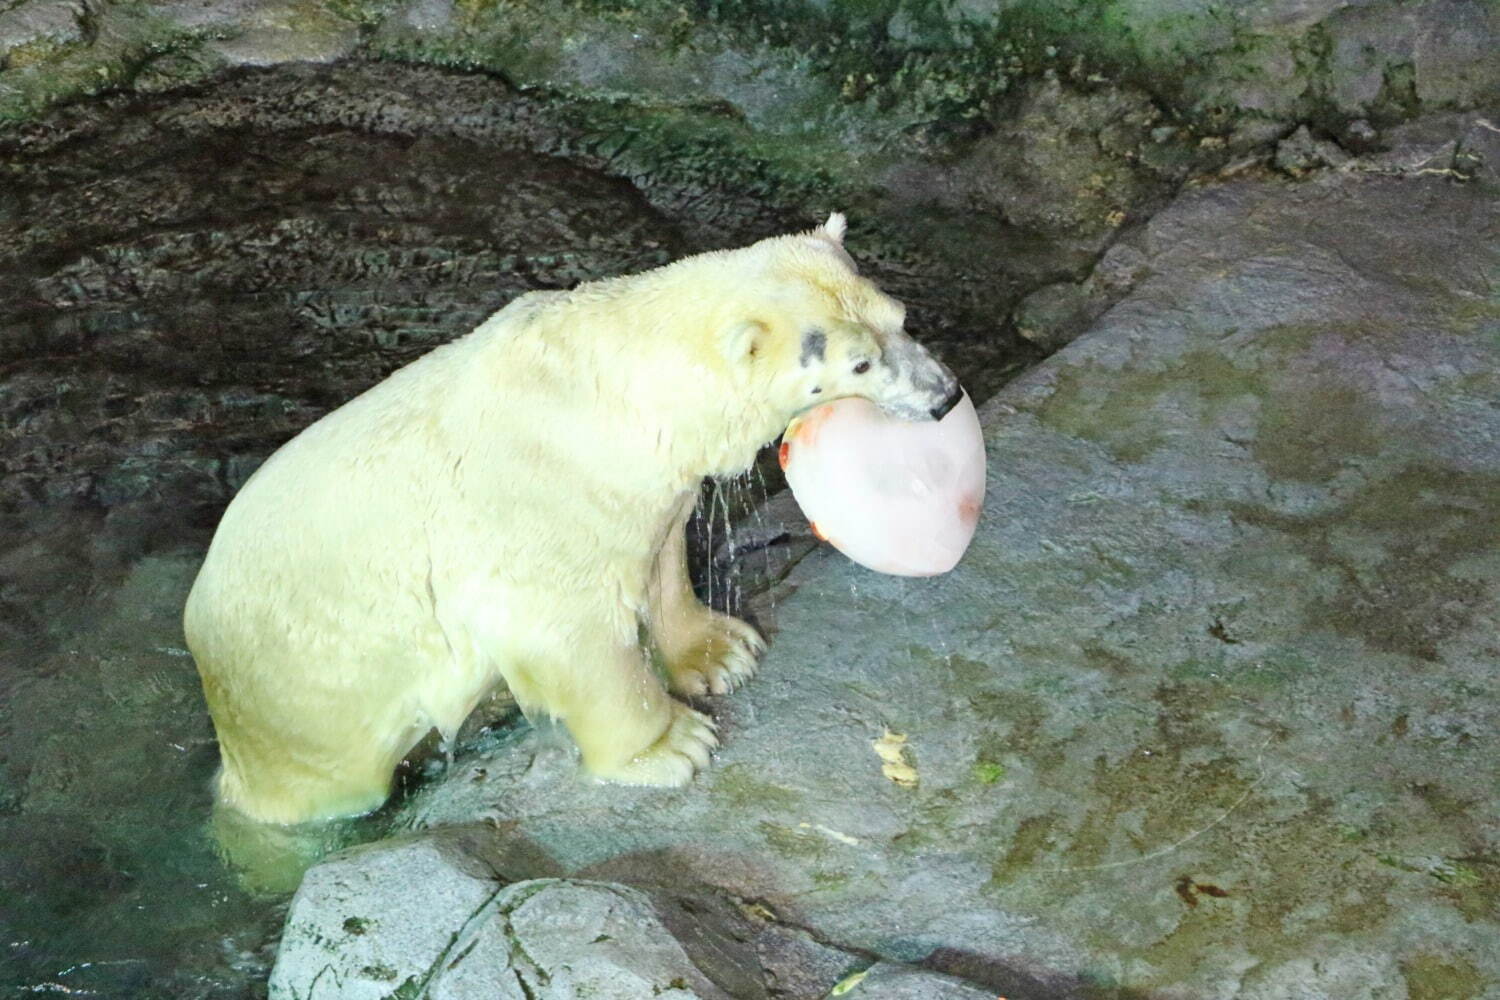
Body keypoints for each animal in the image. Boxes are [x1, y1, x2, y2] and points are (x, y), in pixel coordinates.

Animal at [184, 215, 960, 827]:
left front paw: (723, 652)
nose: (947, 397)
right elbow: (567, 631)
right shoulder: (536, 504)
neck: (611, 388)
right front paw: (674, 745)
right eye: (858, 362)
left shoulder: (639, 482)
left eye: (900, 315)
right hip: (305, 698)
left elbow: (661, 559)